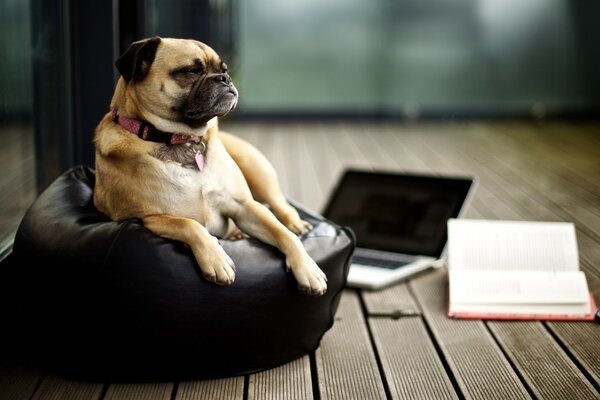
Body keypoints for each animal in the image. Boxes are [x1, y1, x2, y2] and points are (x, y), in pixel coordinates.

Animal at [94, 36, 328, 296]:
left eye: (224, 69)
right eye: (191, 71)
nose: (225, 78)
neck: (181, 139)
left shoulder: (245, 206)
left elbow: (283, 234)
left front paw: (308, 269)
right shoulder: (150, 218)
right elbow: (190, 225)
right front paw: (217, 260)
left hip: (259, 175)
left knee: (282, 207)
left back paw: (296, 224)